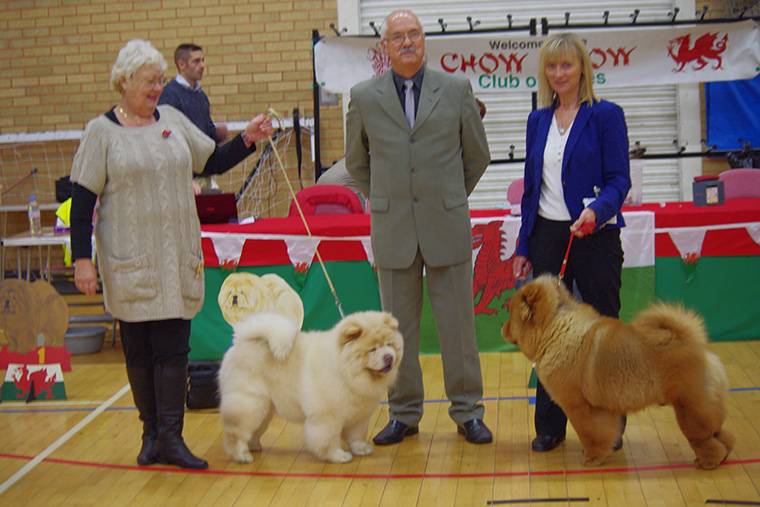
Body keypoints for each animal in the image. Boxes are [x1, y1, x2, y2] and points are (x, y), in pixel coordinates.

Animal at [218, 310, 404, 464]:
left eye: (389, 344)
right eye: (372, 350)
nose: (389, 357)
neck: (344, 372)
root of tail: (240, 342)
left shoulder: (359, 415)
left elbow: (357, 435)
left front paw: (361, 449)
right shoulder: (327, 417)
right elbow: (329, 439)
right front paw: (338, 456)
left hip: (265, 408)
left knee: (254, 430)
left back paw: (253, 446)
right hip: (249, 403)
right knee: (236, 433)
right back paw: (242, 455)